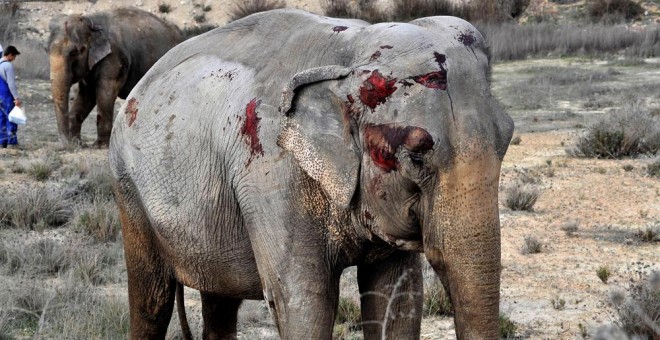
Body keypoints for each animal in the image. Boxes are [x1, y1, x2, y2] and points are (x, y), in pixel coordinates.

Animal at [48, 7, 184, 147]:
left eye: (74, 52)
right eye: (46, 49)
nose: (69, 146)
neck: (92, 20)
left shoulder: (114, 57)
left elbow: (105, 93)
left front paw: (100, 146)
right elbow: (86, 95)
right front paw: (79, 143)